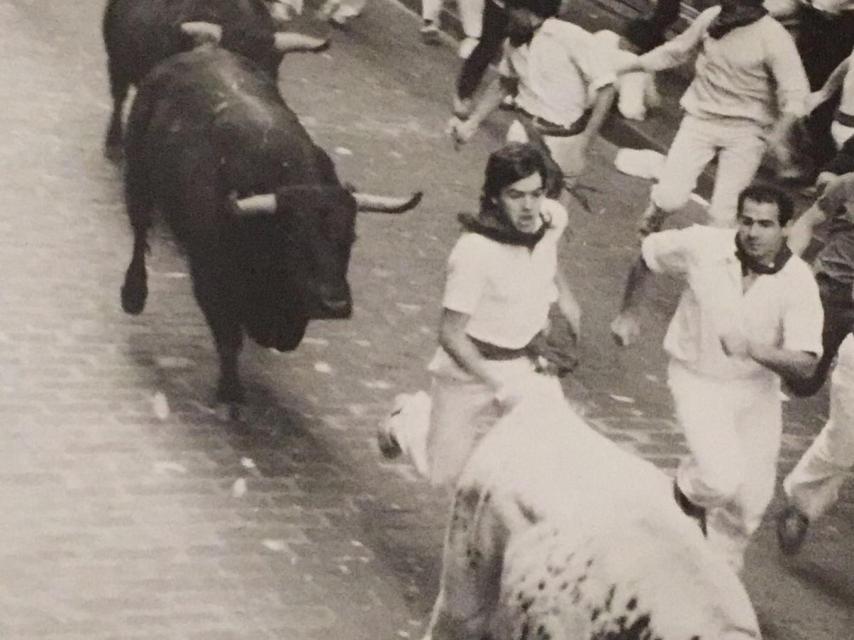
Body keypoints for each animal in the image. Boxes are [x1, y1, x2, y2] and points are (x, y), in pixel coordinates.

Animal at [122, 47, 422, 402]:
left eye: (351, 238)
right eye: (292, 239)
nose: (334, 304)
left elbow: (285, 335)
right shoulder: (210, 276)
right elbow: (229, 338)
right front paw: (230, 390)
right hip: (138, 178)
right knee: (139, 231)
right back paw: (133, 294)